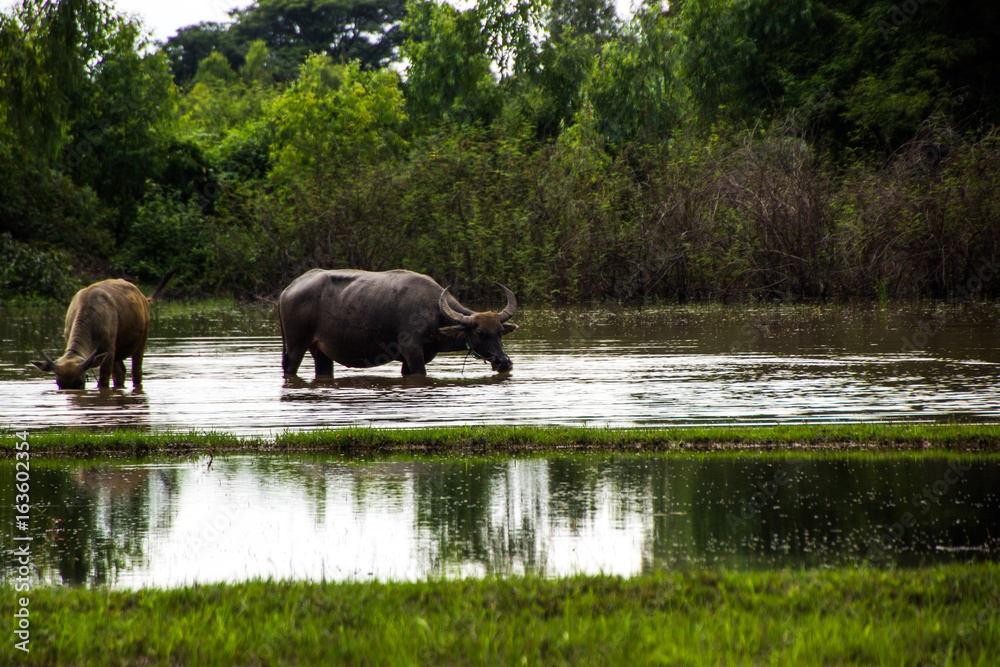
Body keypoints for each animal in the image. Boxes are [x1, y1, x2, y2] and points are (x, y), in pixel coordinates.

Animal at [32, 271, 174, 389]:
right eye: (58, 383)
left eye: (80, 382)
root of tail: (143, 297)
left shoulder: (109, 351)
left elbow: (103, 381)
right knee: (120, 373)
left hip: (141, 341)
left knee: (136, 371)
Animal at [279, 269, 518, 377]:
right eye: (480, 332)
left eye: (500, 332)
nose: (504, 362)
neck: (434, 312)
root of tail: (289, 289)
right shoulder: (413, 351)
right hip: (295, 346)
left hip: (321, 352)